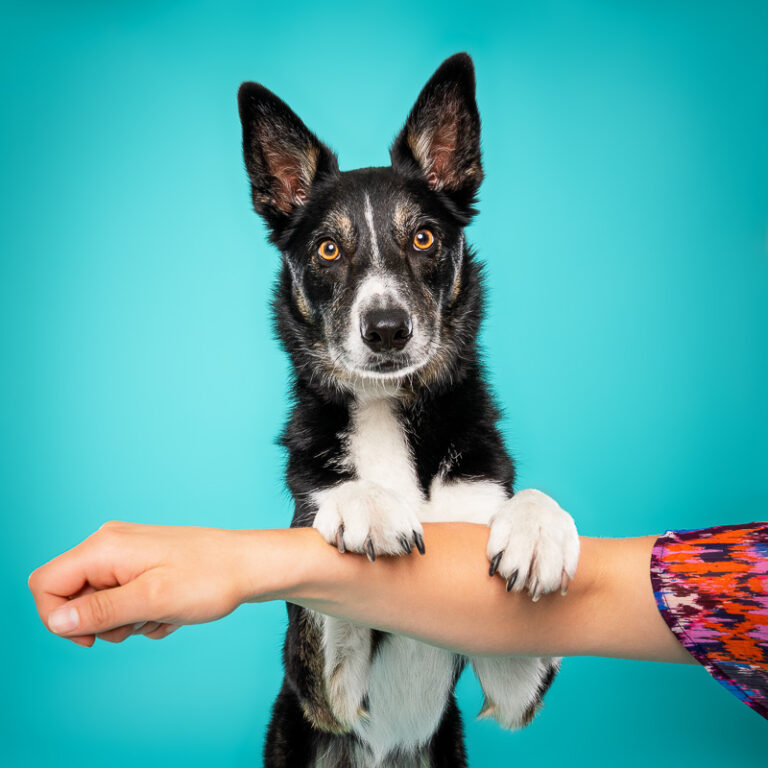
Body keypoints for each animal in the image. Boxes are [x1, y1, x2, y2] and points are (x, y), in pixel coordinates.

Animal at [237, 54, 580, 768]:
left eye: (423, 238)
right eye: (328, 250)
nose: (388, 329)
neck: (390, 411)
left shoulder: (512, 681)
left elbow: (524, 507)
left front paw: (538, 529)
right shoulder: (326, 693)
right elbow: (326, 577)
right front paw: (365, 505)